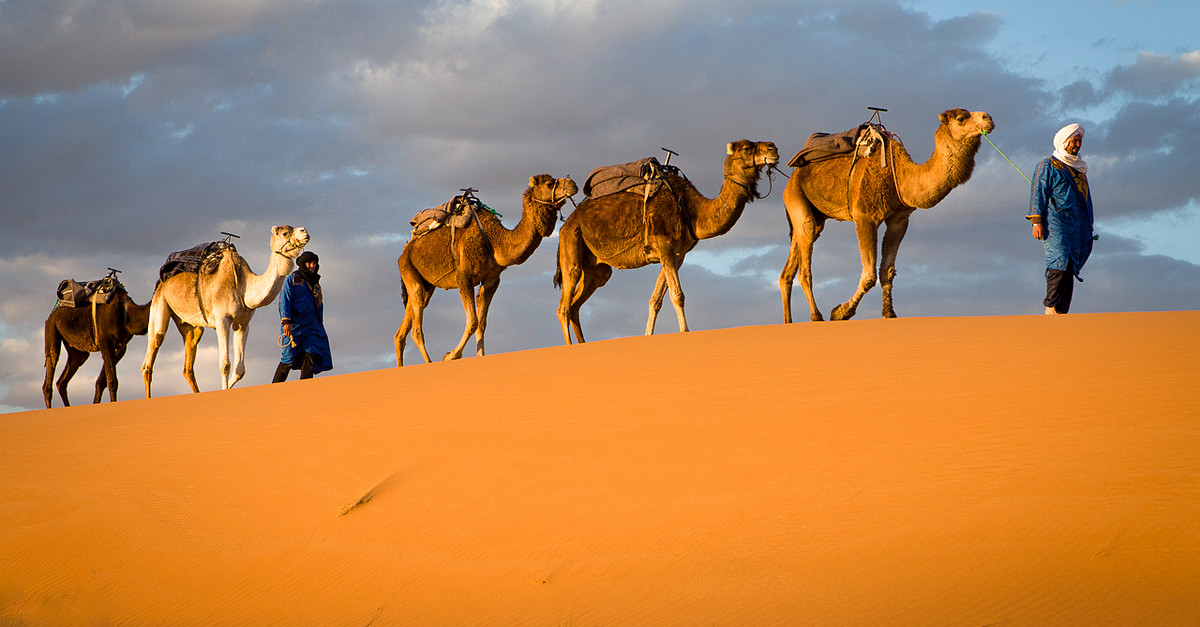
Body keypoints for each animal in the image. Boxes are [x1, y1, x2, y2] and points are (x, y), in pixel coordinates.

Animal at [42, 275, 151, 405]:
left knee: (63, 380)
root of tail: (53, 314)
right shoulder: (105, 342)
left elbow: (101, 382)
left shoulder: (120, 348)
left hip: (77, 350)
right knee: (51, 364)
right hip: (51, 328)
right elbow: (112, 381)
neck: (126, 312)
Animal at [141, 223, 312, 396]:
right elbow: (225, 365)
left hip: (188, 323)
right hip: (159, 301)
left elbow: (240, 370)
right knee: (152, 351)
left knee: (188, 363)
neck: (244, 285)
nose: (304, 231)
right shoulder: (222, 319)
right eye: (285, 233)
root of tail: (162, 280)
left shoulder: (243, 324)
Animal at [393, 172, 576, 362]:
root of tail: (406, 249)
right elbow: (473, 321)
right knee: (416, 327)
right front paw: (451, 355)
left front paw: (479, 357)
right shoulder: (463, 276)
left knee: (402, 331)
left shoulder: (491, 280)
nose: (573, 184)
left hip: (426, 284)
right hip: (407, 268)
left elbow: (481, 324)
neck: (496, 241)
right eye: (549, 183)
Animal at [556, 139, 782, 341]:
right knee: (564, 305)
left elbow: (655, 300)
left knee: (576, 304)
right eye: (747, 148)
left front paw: (648, 336)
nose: (773, 148)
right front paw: (685, 332)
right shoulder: (664, 245)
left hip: (597, 269)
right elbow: (677, 295)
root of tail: (568, 223)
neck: (692, 209)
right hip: (572, 241)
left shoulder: (677, 254)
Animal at [777, 107, 993, 319]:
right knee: (805, 257)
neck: (902, 176)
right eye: (961, 118)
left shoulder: (899, 219)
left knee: (789, 267)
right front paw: (841, 312)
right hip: (796, 196)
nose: (988, 118)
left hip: (814, 214)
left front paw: (889, 312)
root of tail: (792, 176)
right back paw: (817, 316)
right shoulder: (865, 217)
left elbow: (886, 271)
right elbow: (869, 275)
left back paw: (789, 321)